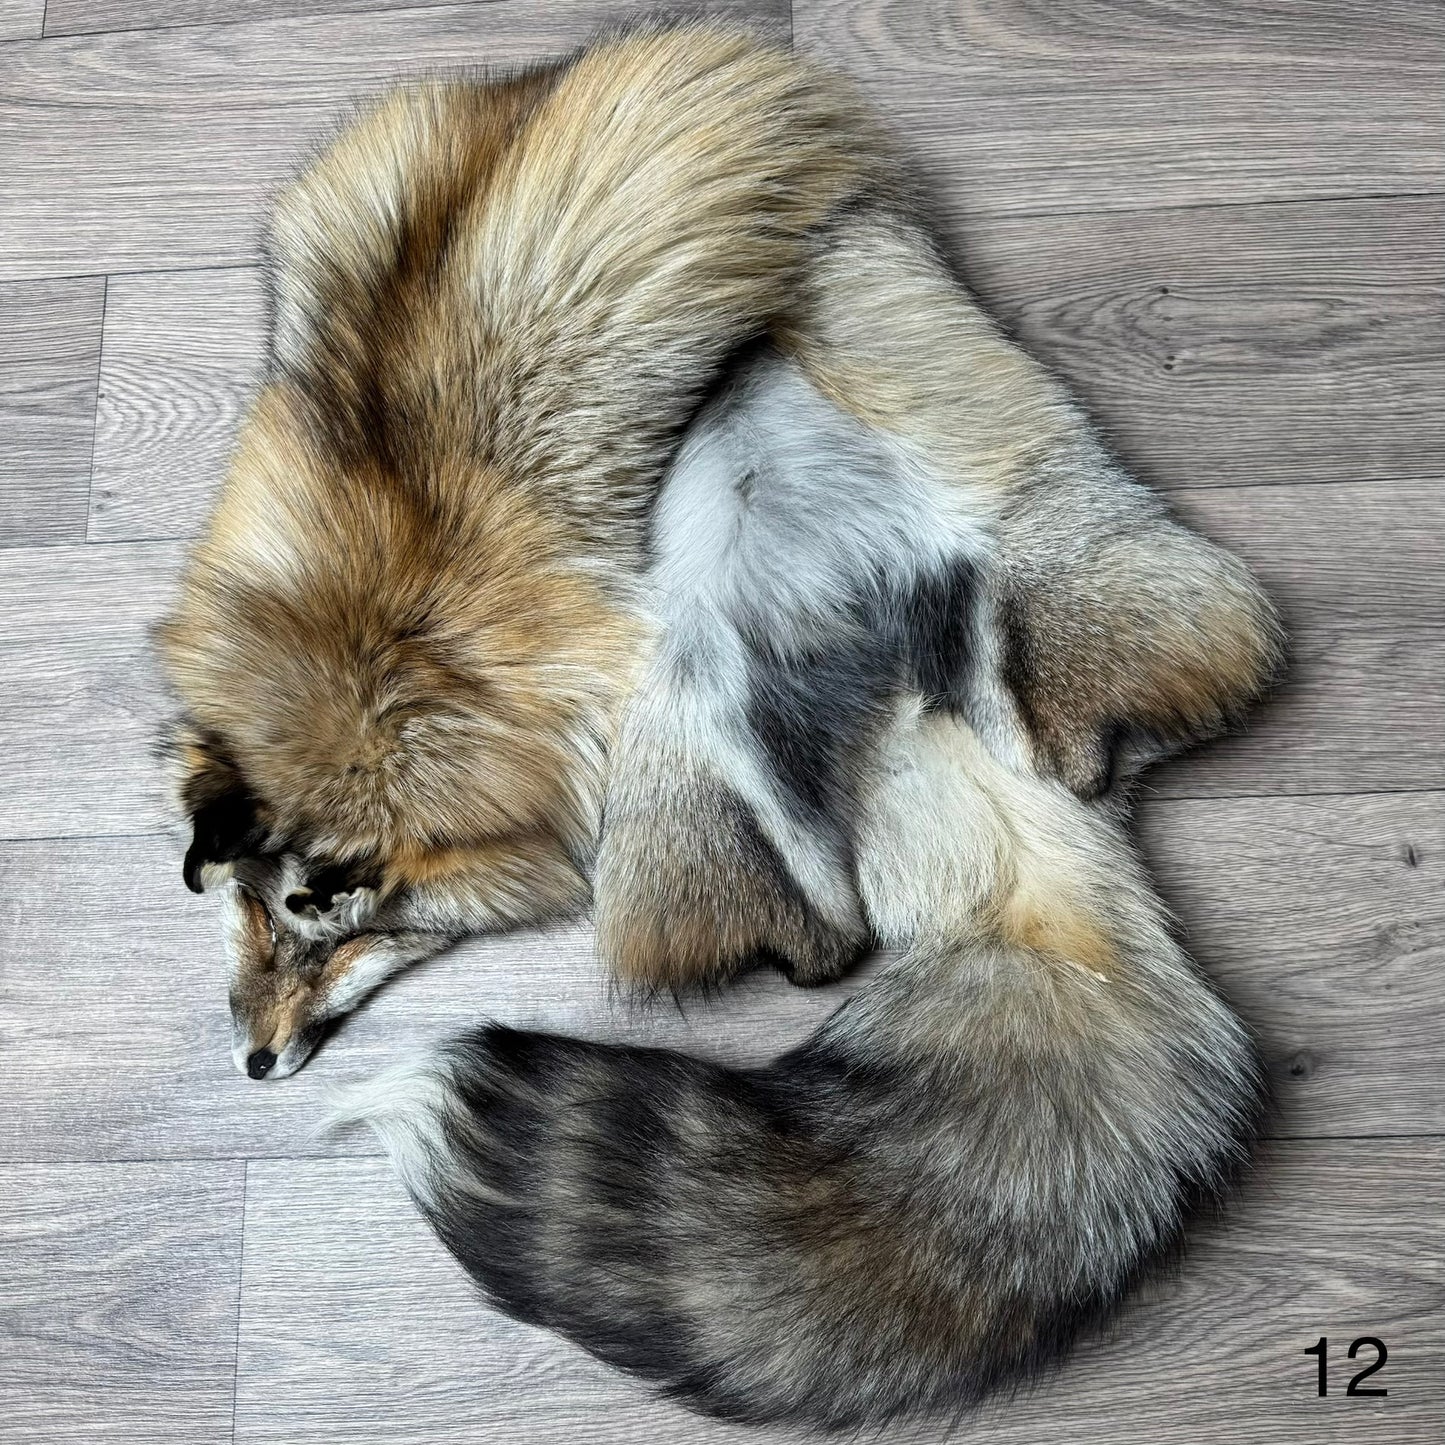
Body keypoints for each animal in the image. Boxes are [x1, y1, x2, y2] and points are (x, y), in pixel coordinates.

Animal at [157, 21, 1282, 1430]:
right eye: (251, 915)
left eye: (352, 933)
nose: (252, 1062)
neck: (380, 630)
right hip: (725, 733)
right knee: (828, 906)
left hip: (838, 642)